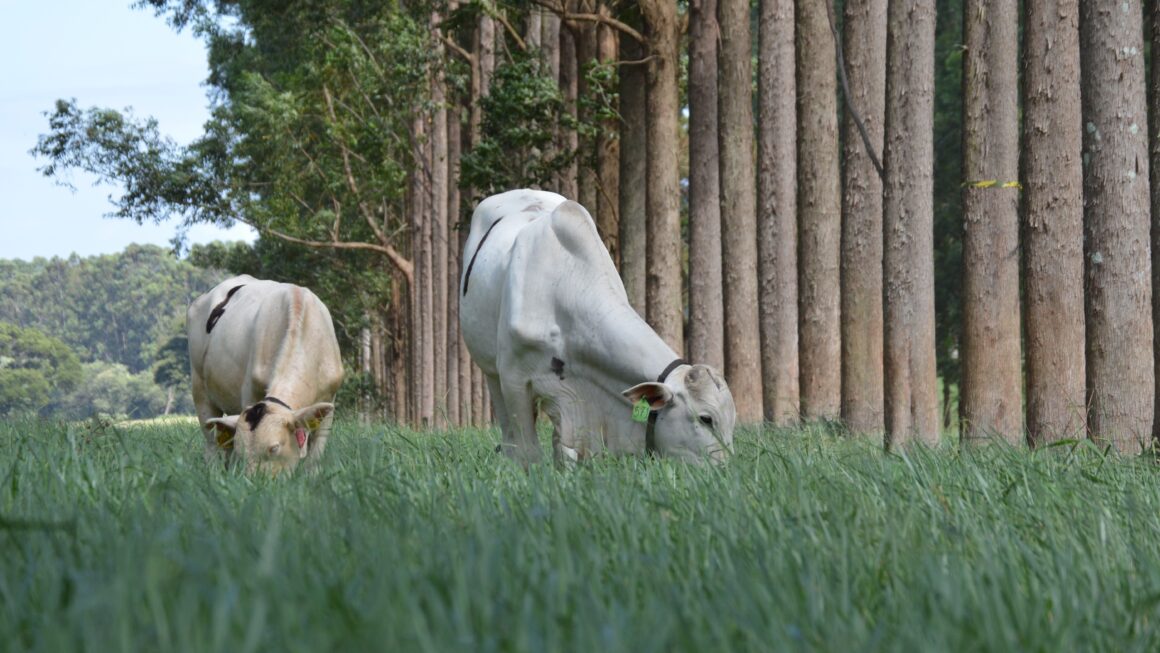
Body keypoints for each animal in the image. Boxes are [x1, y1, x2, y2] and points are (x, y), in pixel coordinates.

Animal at [186, 276, 343, 475]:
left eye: (274, 448)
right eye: (243, 452)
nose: (254, 480)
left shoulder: (329, 400)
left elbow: (315, 456)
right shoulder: (250, 393)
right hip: (199, 388)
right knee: (212, 443)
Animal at [459, 189, 733, 463]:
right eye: (706, 419)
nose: (723, 468)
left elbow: (567, 450)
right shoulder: (513, 380)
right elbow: (528, 451)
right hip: (490, 370)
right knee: (508, 429)